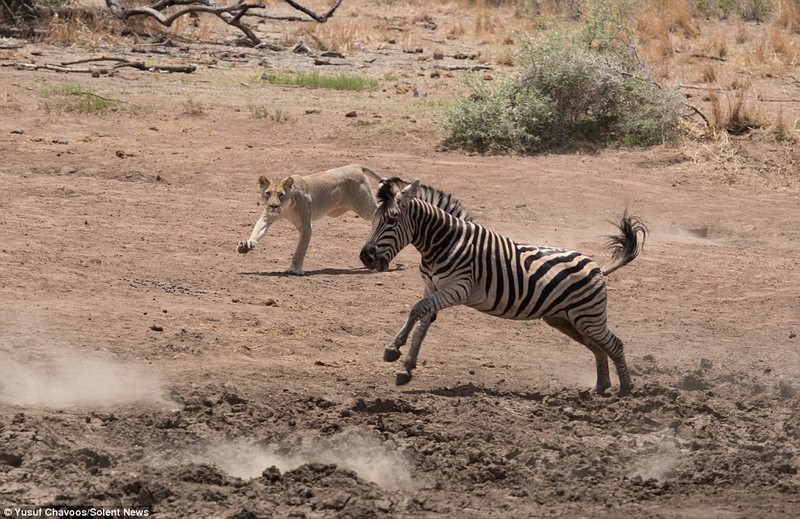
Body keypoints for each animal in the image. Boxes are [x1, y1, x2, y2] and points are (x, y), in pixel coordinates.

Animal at [360, 179, 648, 398]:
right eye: (374, 220)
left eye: (392, 221)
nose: (366, 258)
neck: (444, 244)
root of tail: (598, 267)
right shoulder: (431, 287)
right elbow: (422, 321)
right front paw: (405, 368)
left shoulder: (459, 287)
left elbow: (416, 310)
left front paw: (393, 349)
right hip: (565, 319)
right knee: (598, 347)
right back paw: (601, 387)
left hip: (588, 317)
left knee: (614, 344)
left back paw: (626, 390)